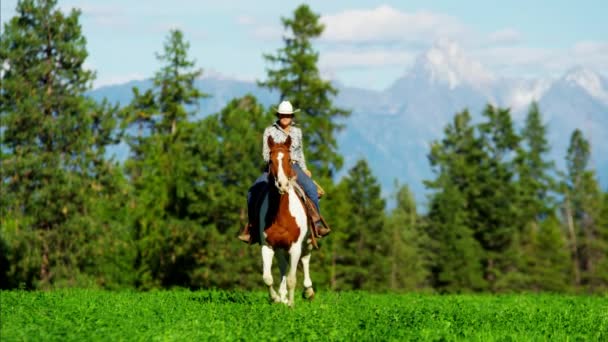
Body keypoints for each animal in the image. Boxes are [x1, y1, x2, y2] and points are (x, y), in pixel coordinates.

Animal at [256, 135, 314, 306]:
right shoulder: (267, 246)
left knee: (305, 259)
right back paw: (282, 295)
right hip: (280, 248)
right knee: (283, 266)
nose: (282, 184)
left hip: (307, 242)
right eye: (270, 160)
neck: (281, 215)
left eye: (289, 160)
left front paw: (291, 305)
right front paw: (276, 298)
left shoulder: (295, 247)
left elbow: (292, 279)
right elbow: (267, 278)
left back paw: (308, 291)